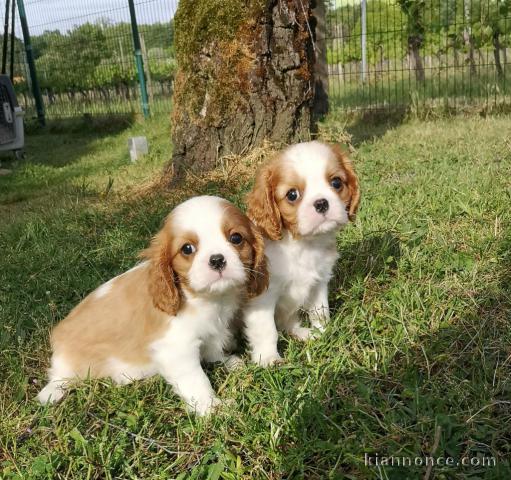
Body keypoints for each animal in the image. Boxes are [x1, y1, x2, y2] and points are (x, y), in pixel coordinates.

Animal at [37, 197, 268, 414]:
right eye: (187, 249)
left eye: (236, 238)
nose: (217, 260)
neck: (206, 299)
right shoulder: (175, 348)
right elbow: (197, 381)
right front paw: (212, 408)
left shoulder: (211, 330)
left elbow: (212, 349)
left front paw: (226, 361)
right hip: (68, 363)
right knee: (58, 376)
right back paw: (51, 392)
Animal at [244, 141, 360, 366]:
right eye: (292, 195)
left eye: (336, 182)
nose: (322, 203)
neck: (302, 244)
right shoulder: (263, 297)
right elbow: (266, 330)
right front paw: (269, 358)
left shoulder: (319, 282)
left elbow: (320, 311)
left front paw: (322, 333)